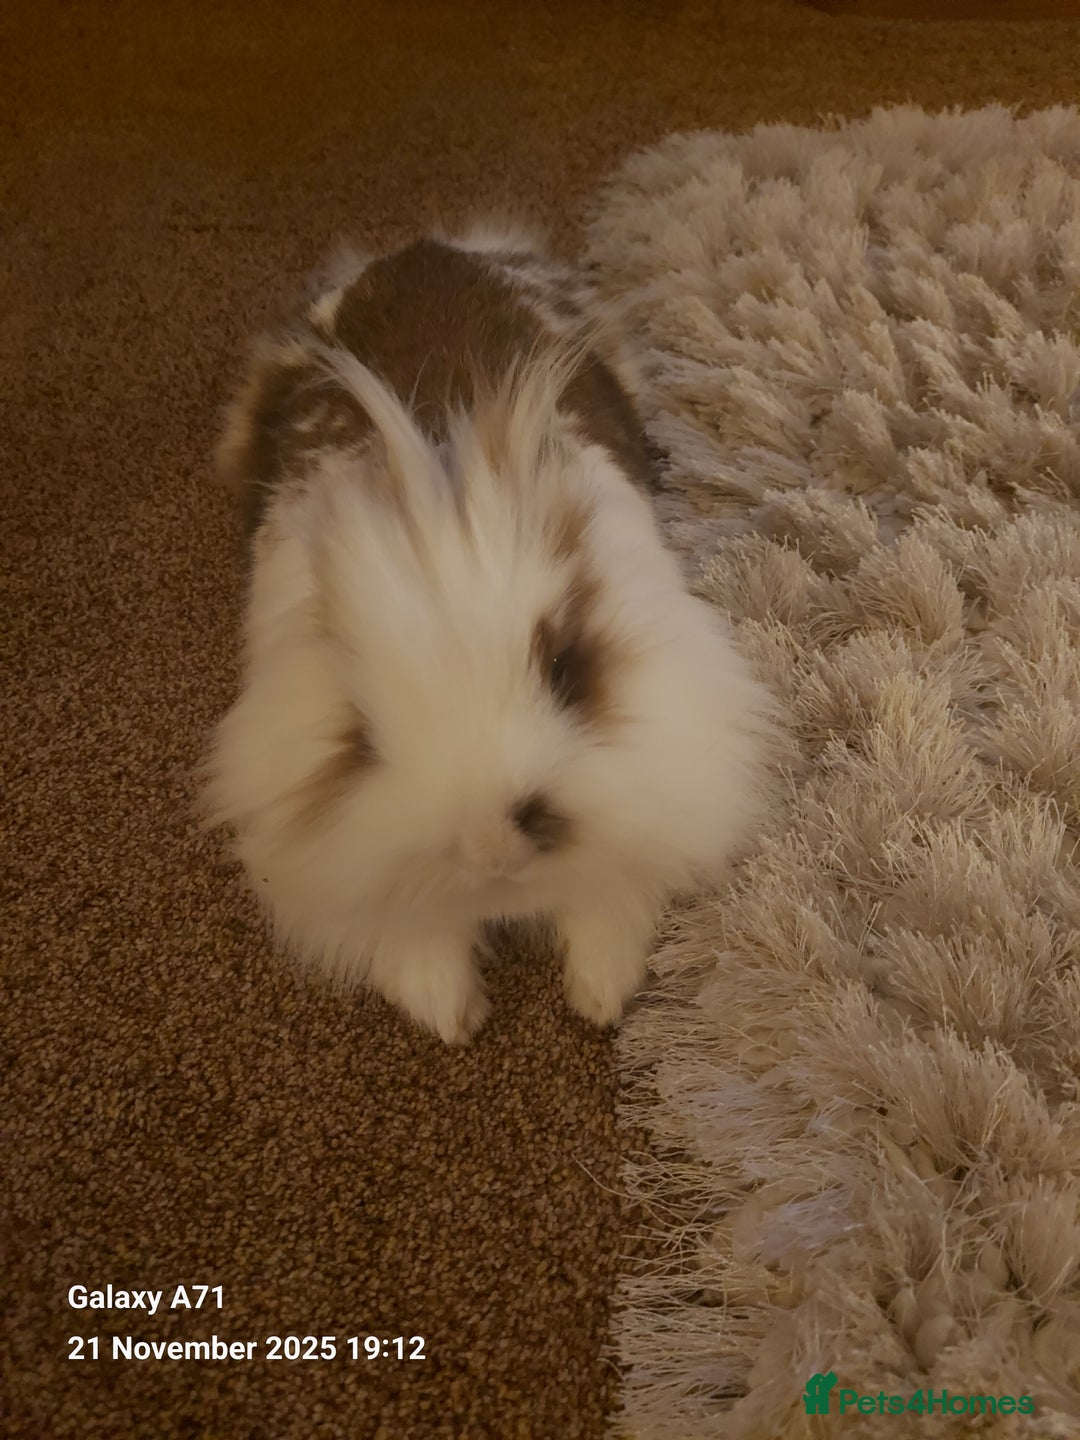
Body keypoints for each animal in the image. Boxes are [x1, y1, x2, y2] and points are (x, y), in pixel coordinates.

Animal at [200, 222, 776, 1045]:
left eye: (567, 667)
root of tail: (428, 251)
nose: (491, 849)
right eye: (360, 730)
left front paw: (601, 996)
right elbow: (412, 933)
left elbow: (614, 898)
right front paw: (451, 1015)